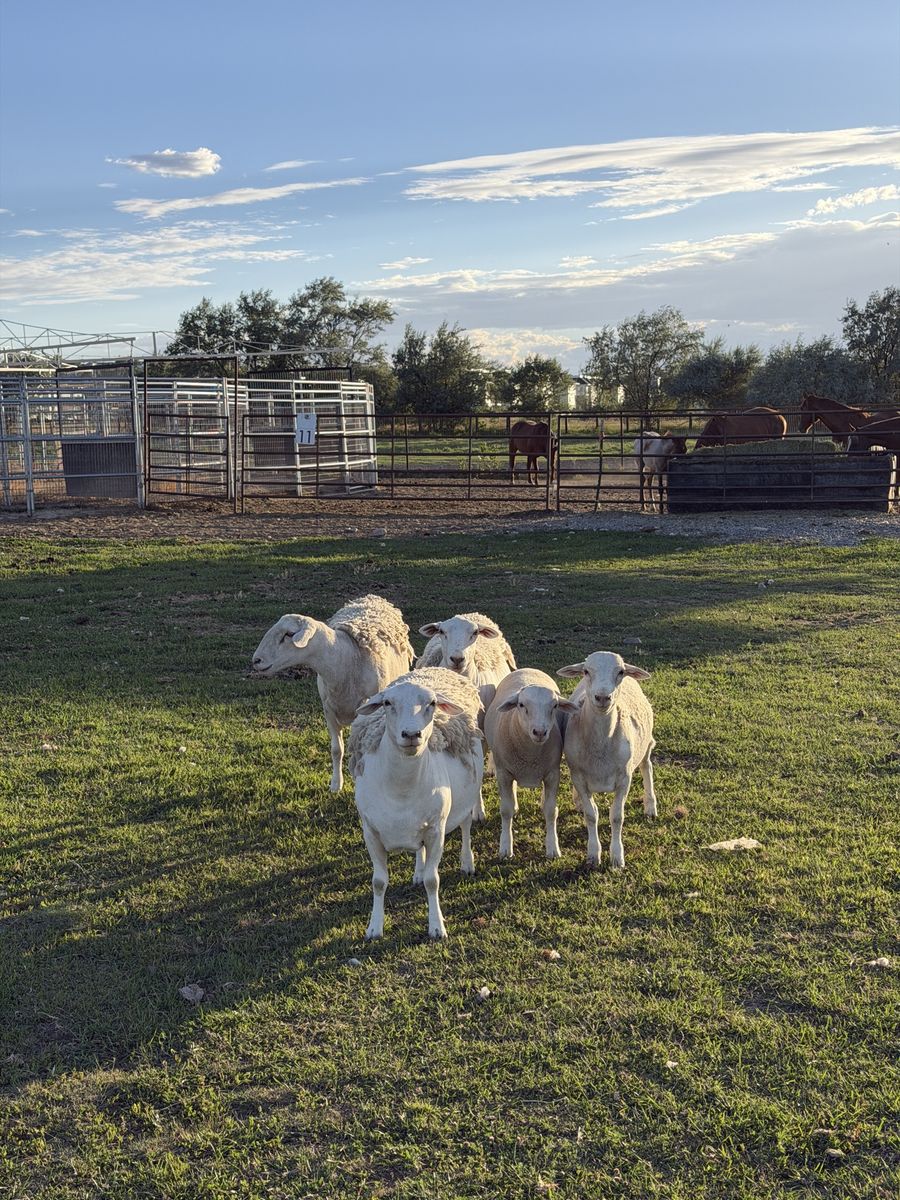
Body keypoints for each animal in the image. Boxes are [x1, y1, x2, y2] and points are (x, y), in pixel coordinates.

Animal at [251, 594, 415, 793]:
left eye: (289, 634)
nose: (256, 660)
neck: (345, 658)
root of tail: (373, 597)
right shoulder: (328, 710)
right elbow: (337, 750)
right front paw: (336, 784)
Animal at [348, 666, 484, 939]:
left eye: (432, 703)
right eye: (387, 703)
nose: (411, 734)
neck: (402, 789)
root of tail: (436, 669)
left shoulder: (436, 830)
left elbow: (434, 881)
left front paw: (436, 926)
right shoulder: (371, 832)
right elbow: (378, 882)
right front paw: (374, 927)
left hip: (466, 799)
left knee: (465, 827)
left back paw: (467, 862)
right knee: (418, 848)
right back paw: (418, 872)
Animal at [417, 611, 518, 821]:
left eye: (474, 633)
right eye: (442, 631)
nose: (457, 658)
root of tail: (473, 613)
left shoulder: (478, 732)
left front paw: (478, 810)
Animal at [484, 668, 580, 859]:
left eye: (555, 706)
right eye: (521, 705)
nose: (540, 732)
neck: (530, 754)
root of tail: (527, 669)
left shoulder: (552, 773)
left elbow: (551, 811)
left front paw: (553, 847)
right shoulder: (504, 773)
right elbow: (505, 810)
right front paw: (505, 847)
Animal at [557, 651, 656, 870]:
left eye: (620, 672)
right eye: (586, 671)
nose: (603, 697)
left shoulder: (624, 778)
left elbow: (617, 817)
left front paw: (617, 857)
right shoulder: (579, 777)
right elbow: (591, 815)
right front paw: (593, 854)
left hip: (645, 745)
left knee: (647, 767)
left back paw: (651, 806)